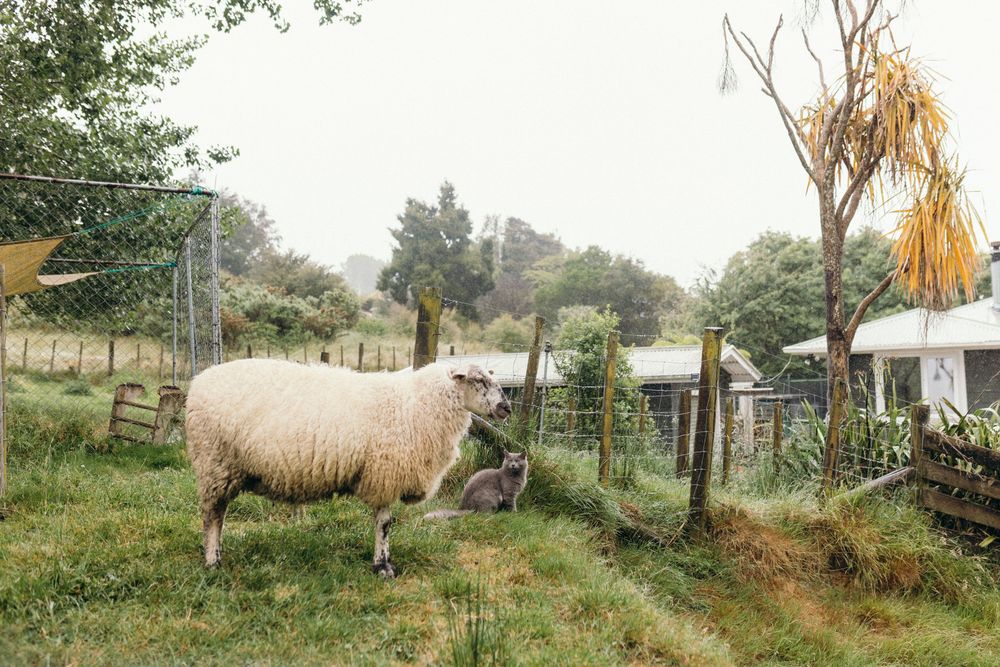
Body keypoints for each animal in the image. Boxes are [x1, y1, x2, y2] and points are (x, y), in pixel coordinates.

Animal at [185, 359, 511, 577]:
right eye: (479, 380)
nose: (506, 407)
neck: (418, 404)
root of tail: (198, 382)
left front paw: (382, 563)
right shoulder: (384, 473)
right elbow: (384, 524)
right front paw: (383, 567)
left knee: (218, 515)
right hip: (215, 463)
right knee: (212, 516)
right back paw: (212, 562)